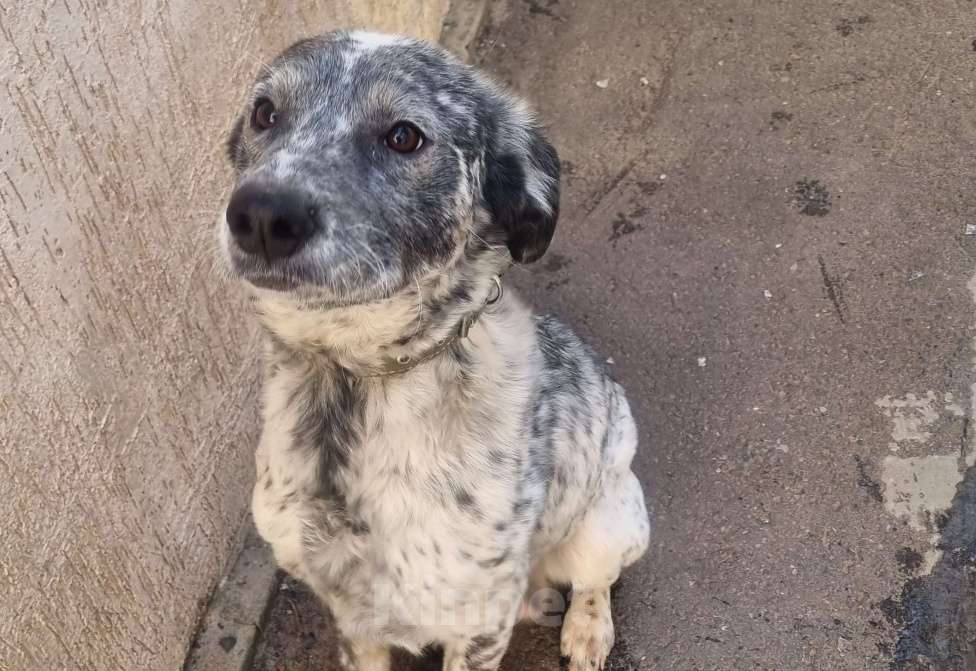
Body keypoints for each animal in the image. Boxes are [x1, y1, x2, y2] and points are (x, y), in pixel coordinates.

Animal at [218, 31, 651, 671]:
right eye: (265, 113)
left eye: (404, 136)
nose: (263, 215)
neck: (352, 384)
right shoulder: (353, 617)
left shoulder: (477, 623)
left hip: (608, 523)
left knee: (595, 580)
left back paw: (586, 628)